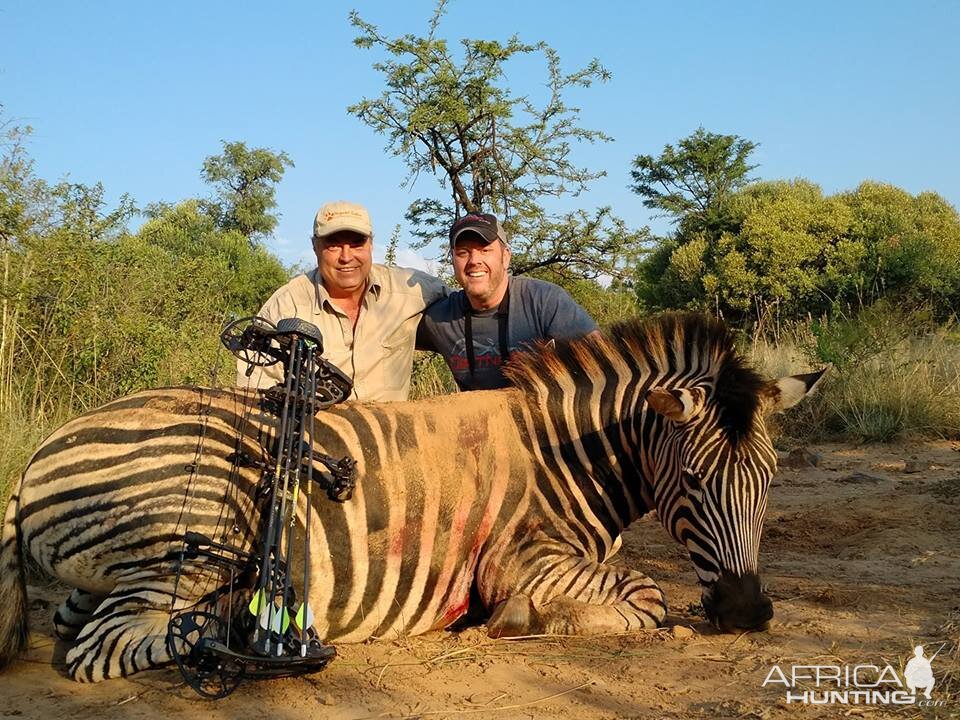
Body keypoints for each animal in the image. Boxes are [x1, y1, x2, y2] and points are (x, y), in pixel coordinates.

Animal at [0, 314, 824, 680]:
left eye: (769, 482)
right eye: (695, 483)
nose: (750, 613)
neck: (563, 457)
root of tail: (35, 458)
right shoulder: (523, 561)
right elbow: (646, 597)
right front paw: (523, 623)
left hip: (107, 570)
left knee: (74, 626)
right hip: (203, 538)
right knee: (108, 647)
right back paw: (238, 636)